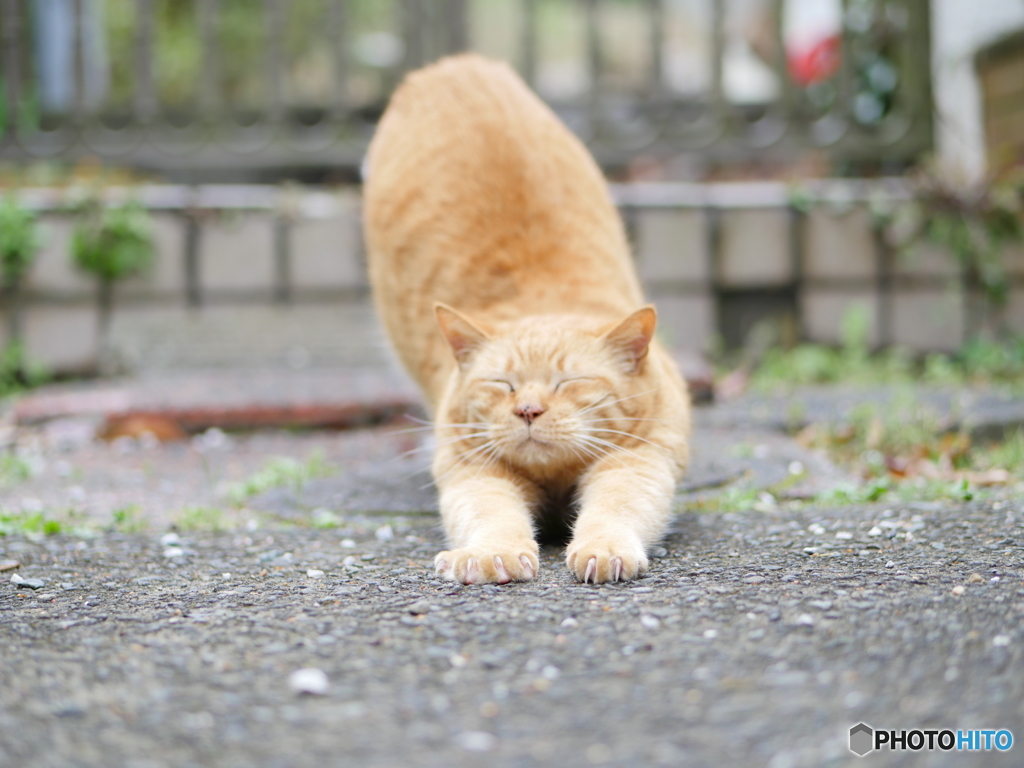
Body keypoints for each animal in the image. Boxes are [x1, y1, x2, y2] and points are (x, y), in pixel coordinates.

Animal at [364, 52, 692, 581]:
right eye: (503, 386)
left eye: (569, 383)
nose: (529, 411)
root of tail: (453, 64)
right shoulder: (473, 472)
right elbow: (492, 515)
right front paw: (489, 554)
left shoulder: (638, 461)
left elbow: (616, 508)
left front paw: (603, 549)